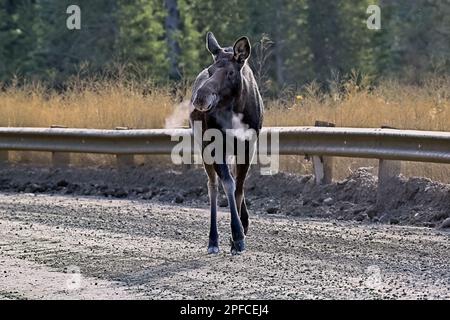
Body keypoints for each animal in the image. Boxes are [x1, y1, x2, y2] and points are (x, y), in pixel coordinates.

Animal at [189, 31, 264, 255]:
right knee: (213, 185)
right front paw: (237, 236)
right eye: (210, 70)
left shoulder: (248, 146)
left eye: (230, 73)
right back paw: (213, 240)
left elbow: (239, 187)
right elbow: (229, 184)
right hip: (204, 148)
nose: (200, 97)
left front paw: (237, 235)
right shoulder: (215, 146)